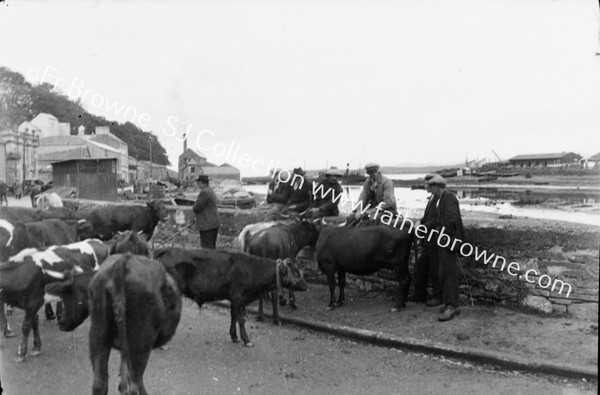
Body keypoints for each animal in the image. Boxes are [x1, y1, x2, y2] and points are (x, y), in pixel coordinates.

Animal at [44, 254, 180, 395]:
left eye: (65, 297)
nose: (61, 322)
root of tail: (122, 261)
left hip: (98, 335)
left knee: (100, 384)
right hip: (140, 343)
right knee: (134, 385)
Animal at [155, 249, 308, 348]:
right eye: (295, 272)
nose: (306, 285)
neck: (252, 270)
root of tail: (166, 250)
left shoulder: (235, 299)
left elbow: (234, 316)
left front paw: (234, 336)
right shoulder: (238, 296)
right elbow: (241, 319)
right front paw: (247, 339)